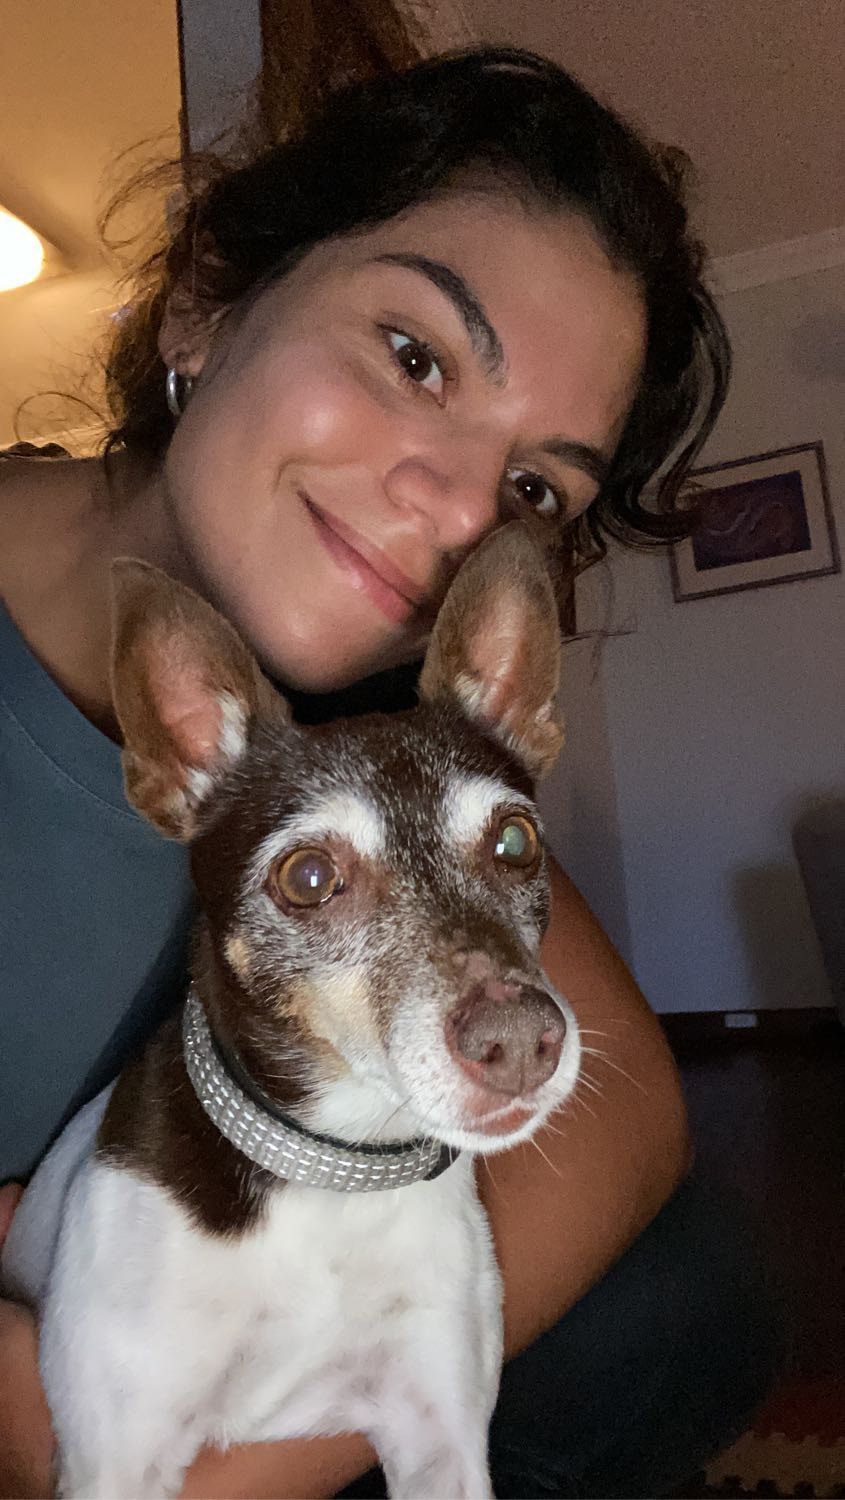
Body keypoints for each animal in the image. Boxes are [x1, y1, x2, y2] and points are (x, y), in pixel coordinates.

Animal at [2, 522, 582, 1498]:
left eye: (514, 842)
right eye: (307, 877)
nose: (520, 1040)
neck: (330, 1174)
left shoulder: (443, 1440)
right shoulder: (115, 1460)